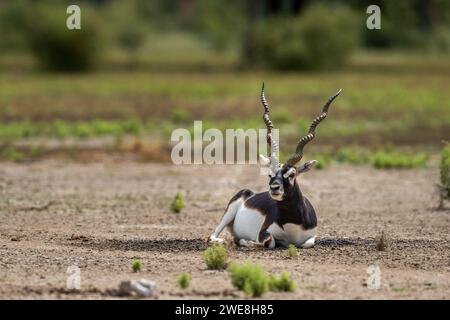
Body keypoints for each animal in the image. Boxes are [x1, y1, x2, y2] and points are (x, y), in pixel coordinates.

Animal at [209, 82, 342, 248]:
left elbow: (307, 243)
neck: (293, 225)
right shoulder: (263, 233)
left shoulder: (311, 237)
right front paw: (247, 241)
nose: (274, 188)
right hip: (229, 213)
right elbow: (269, 241)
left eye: (291, 174)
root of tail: (250, 194)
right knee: (213, 236)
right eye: (269, 175)